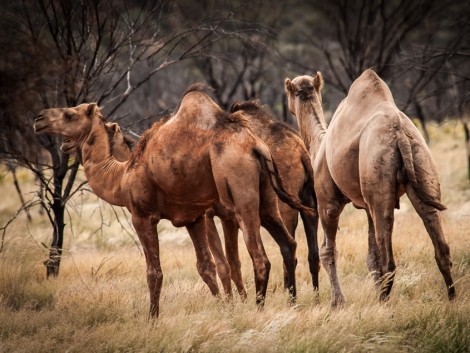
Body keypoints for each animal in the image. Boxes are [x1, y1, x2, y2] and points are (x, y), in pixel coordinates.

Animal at [35, 84, 314, 316]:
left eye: (70, 114)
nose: (39, 119)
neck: (121, 175)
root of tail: (256, 147)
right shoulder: (195, 217)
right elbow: (207, 266)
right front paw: (225, 308)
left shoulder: (143, 216)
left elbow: (155, 272)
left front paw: (152, 319)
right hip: (267, 200)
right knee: (289, 245)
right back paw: (291, 303)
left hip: (242, 197)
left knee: (260, 257)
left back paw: (259, 309)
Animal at [284, 69, 454, 306]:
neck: (318, 145)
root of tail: (400, 134)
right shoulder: (365, 206)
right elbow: (371, 256)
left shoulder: (328, 202)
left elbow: (328, 251)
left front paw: (338, 302)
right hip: (421, 164)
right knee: (439, 242)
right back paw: (451, 299)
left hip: (378, 172)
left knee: (388, 259)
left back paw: (384, 303)